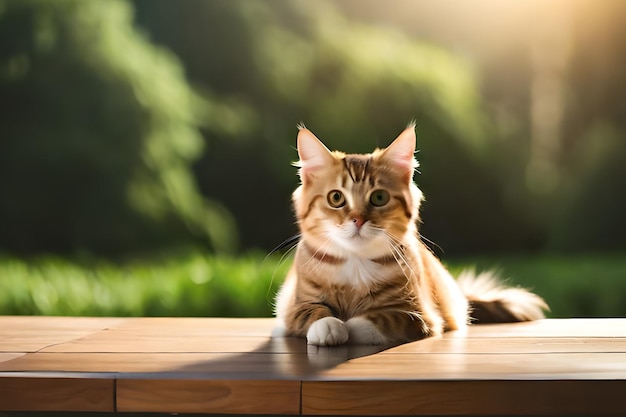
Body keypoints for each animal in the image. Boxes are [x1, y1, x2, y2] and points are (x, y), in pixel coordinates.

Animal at [272, 123, 544, 344]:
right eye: (336, 198)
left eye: (379, 198)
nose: (358, 220)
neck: (356, 263)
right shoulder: (297, 305)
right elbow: (315, 314)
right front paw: (330, 327)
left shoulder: (418, 314)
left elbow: (375, 321)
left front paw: (349, 326)